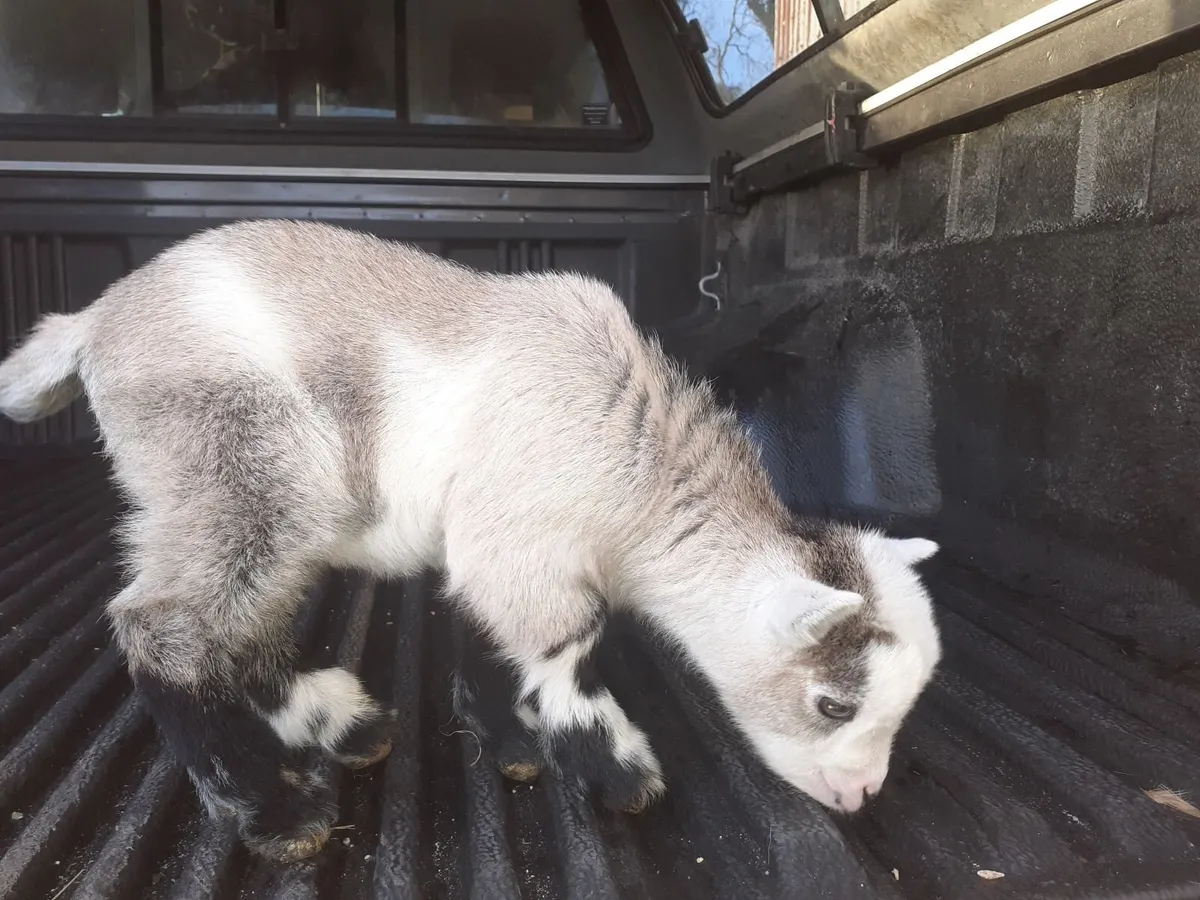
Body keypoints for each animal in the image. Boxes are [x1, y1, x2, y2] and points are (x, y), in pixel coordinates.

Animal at [0, 220, 942, 861]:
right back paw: (276, 811)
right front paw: (618, 774)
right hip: (239, 461)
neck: (635, 466)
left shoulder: (497, 552)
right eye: (833, 703)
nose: (862, 793)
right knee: (168, 625)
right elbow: (568, 651)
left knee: (239, 623)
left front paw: (509, 739)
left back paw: (340, 724)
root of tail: (92, 324)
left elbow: (490, 634)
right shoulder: (525, 544)